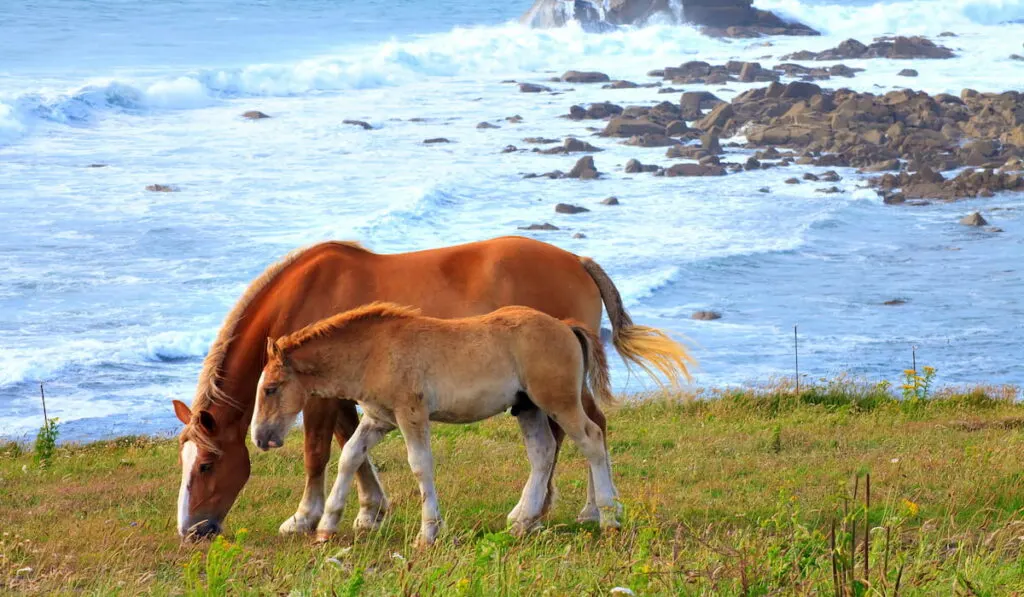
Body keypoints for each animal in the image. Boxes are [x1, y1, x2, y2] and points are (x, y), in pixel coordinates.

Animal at [251, 305, 618, 544]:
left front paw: (428, 532)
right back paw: (521, 522)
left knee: (592, 439)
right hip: (528, 408)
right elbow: (350, 456)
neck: (374, 351)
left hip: (558, 402)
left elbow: (420, 465)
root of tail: (566, 326)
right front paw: (326, 527)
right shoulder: (378, 419)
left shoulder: (411, 413)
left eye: (270, 389)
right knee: (543, 453)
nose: (260, 437)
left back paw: (608, 516)